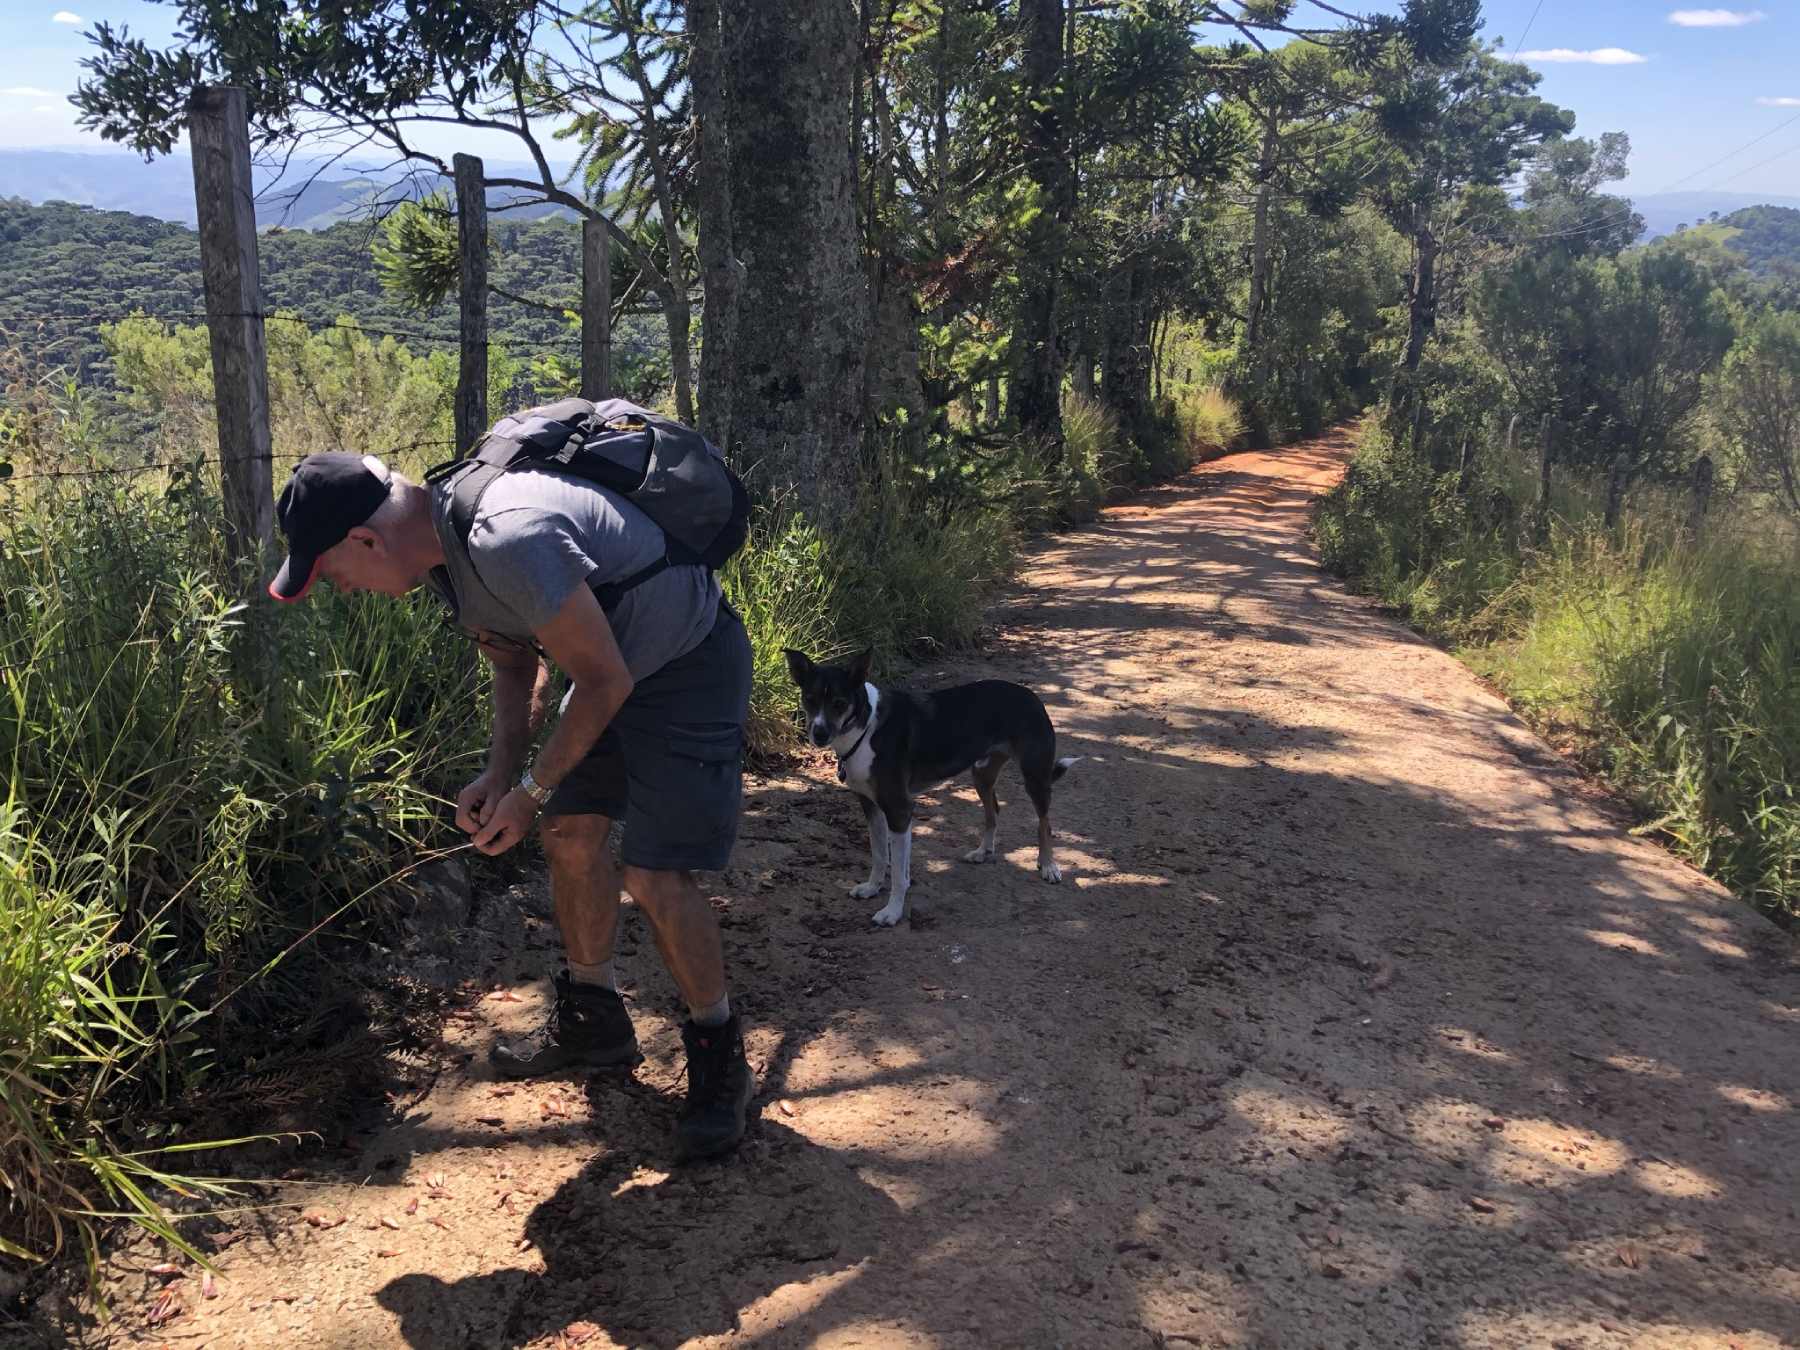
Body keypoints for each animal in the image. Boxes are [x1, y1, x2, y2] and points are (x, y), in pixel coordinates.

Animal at [781, 648, 1072, 928]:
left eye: (840, 704)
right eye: (809, 699)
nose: (819, 734)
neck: (865, 730)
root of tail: (1029, 694)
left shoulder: (899, 810)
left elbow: (899, 873)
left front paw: (892, 912)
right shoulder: (871, 806)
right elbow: (879, 856)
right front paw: (872, 888)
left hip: (1035, 777)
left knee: (1044, 823)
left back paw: (1048, 865)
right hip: (982, 773)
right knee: (994, 811)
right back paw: (983, 851)